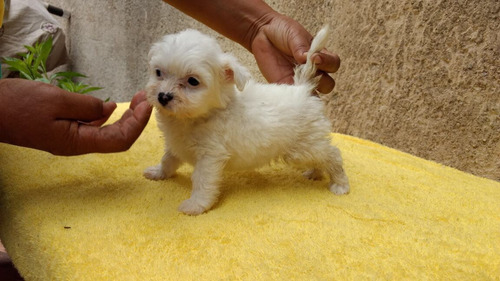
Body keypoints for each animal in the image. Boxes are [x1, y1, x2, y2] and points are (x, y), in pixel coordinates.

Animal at [144, 26, 348, 214]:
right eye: (158, 72)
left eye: (193, 81)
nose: (163, 96)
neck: (197, 116)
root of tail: (303, 89)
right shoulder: (176, 145)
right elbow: (168, 160)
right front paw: (158, 173)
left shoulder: (210, 156)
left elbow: (202, 181)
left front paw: (196, 205)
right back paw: (315, 173)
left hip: (304, 148)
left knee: (333, 155)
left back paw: (340, 184)